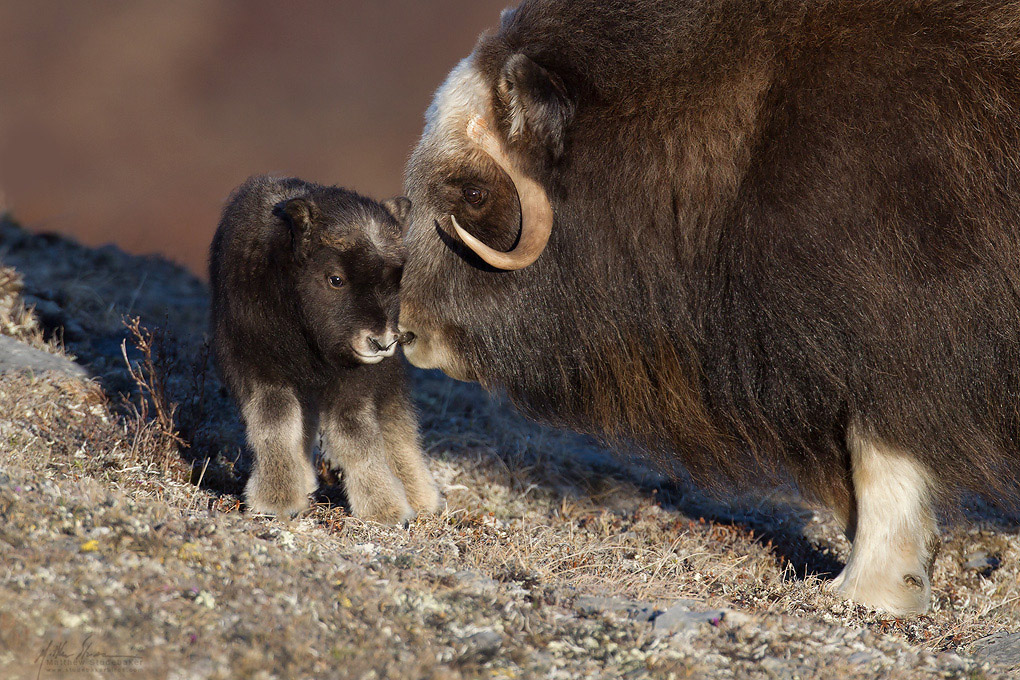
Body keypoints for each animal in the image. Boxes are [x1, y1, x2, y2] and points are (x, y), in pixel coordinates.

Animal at [211, 175, 438, 521]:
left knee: (395, 427)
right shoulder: (258, 365)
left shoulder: (354, 381)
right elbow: (275, 423)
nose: (382, 342)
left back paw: (420, 497)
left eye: (396, 281)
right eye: (335, 279)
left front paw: (384, 509)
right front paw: (277, 499)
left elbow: (354, 433)